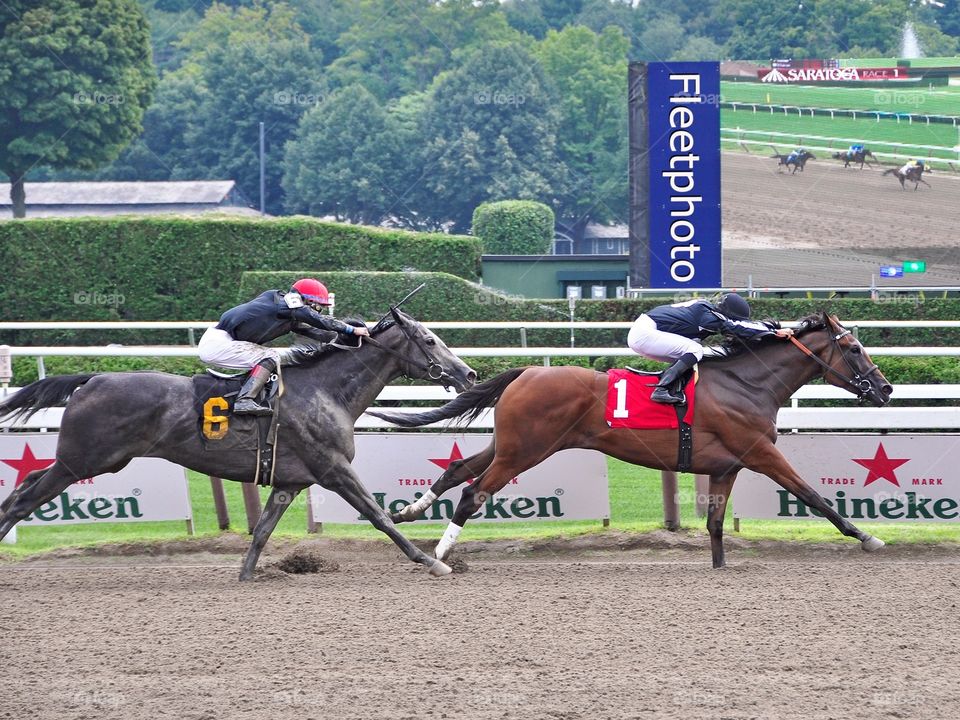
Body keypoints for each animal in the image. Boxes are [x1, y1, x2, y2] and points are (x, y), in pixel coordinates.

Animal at [0, 310, 476, 580]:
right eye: (430, 340)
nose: (468, 373)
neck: (327, 391)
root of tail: (91, 379)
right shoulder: (334, 469)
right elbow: (380, 517)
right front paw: (432, 561)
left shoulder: (290, 482)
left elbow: (263, 530)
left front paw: (247, 574)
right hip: (82, 460)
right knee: (24, 499)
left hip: (91, 461)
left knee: (26, 484)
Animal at [366, 314, 892, 568]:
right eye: (853, 347)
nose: (885, 389)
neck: (748, 384)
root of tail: (528, 370)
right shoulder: (761, 453)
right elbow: (813, 496)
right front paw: (869, 538)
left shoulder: (726, 466)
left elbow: (715, 524)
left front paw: (720, 566)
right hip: (526, 450)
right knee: (475, 492)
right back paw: (440, 554)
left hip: (511, 444)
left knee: (459, 469)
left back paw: (410, 513)